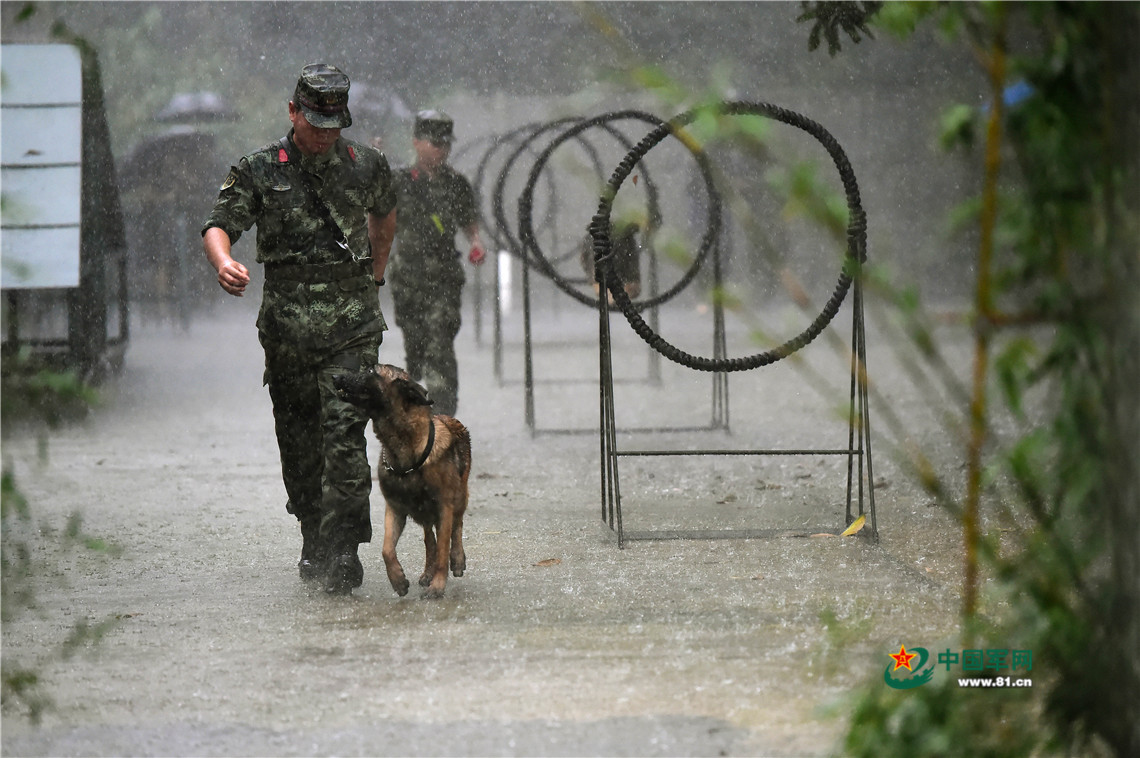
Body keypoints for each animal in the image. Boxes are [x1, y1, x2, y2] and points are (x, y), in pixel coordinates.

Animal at [332, 364, 469, 601]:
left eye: (371, 371)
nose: (334, 376)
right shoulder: (395, 508)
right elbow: (387, 549)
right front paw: (398, 580)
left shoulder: (444, 507)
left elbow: (444, 550)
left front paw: (438, 586)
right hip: (423, 512)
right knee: (429, 538)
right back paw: (427, 572)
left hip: (459, 499)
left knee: (456, 527)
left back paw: (457, 559)